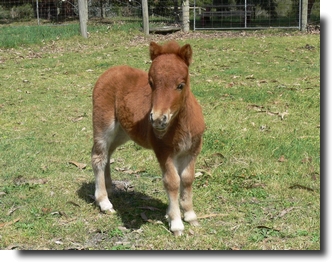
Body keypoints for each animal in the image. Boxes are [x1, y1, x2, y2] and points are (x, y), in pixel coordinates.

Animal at [91, 40, 205, 236]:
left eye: (181, 85)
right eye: (151, 83)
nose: (158, 119)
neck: (181, 123)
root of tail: (109, 71)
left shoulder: (192, 150)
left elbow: (187, 179)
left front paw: (190, 215)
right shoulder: (164, 151)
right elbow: (172, 182)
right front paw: (176, 223)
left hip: (122, 132)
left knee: (108, 154)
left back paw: (110, 187)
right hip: (103, 125)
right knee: (98, 157)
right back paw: (104, 202)